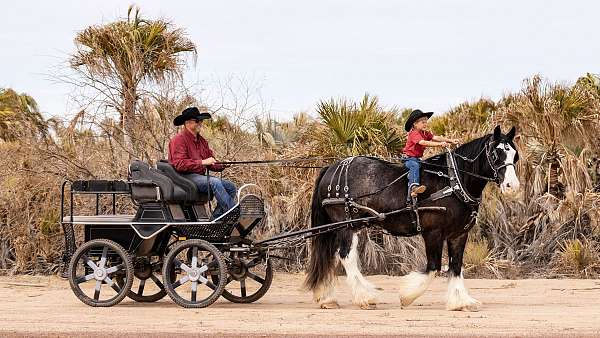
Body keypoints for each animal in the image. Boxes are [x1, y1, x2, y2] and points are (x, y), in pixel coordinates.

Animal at [304, 126, 520, 312]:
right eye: (496, 154)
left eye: (514, 155)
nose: (512, 186)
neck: (453, 181)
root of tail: (332, 167)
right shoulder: (433, 232)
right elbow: (433, 267)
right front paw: (407, 296)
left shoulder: (459, 234)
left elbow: (456, 266)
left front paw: (461, 301)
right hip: (347, 225)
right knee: (346, 256)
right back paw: (365, 297)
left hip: (338, 226)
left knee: (330, 256)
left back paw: (328, 298)